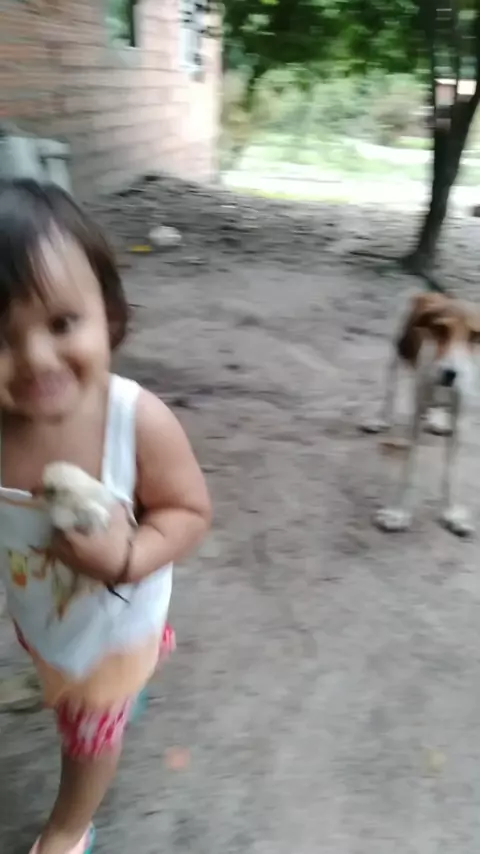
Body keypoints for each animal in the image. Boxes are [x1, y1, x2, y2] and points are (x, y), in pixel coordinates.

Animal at [361, 291, 480, 537]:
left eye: (475, 336)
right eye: (440, 328)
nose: (450, 373)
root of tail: (432, 293)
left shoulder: (461, 417)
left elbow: (453, 471)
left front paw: (453, 512)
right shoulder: (418, 411)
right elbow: (410, 467)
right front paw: (399, 513)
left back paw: (437, 419)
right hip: (400, 349)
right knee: (391, 387)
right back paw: (382, 418)